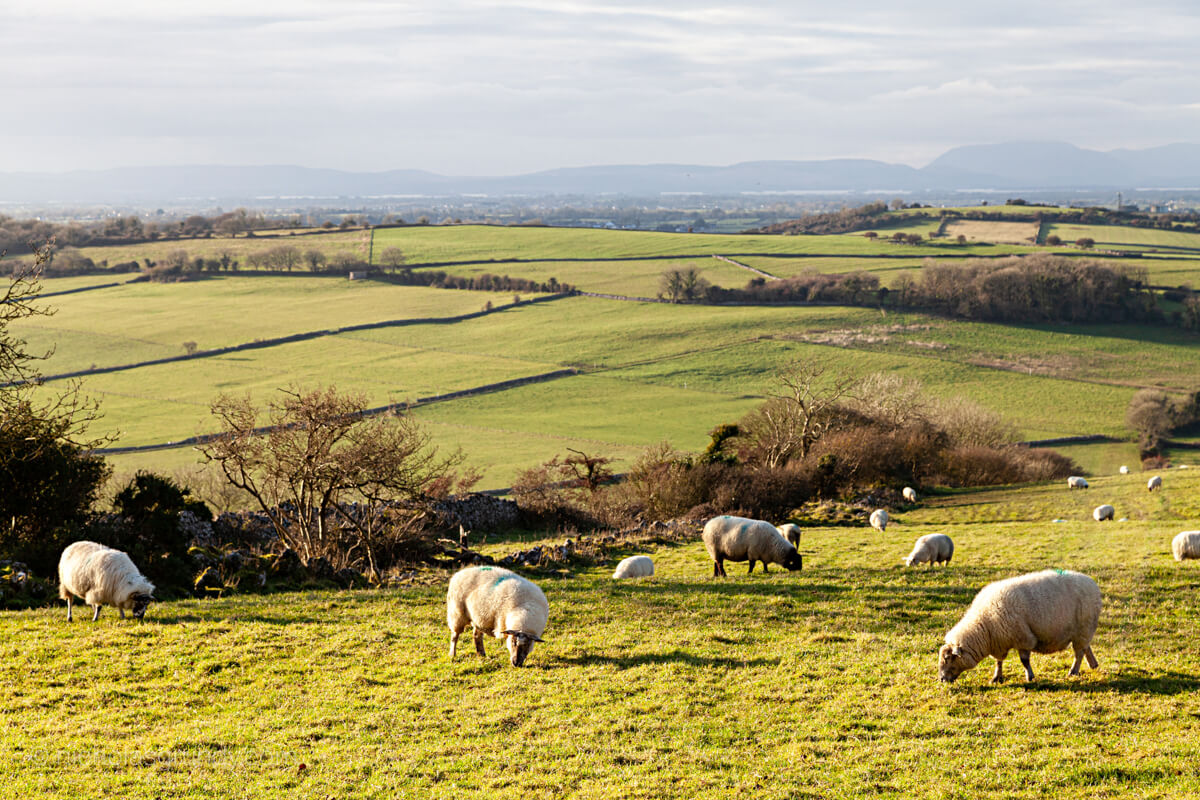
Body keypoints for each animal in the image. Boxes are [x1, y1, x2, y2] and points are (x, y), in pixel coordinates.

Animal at [936, 566, 1104, 686]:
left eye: (948, 658)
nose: (942, 680)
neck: (983, 625)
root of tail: (1091, 582)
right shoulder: (998, 642)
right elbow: (998, 661)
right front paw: (996, 677)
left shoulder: (1023, 638)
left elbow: (1024, 661)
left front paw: (1029, 676)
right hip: (1082, 631)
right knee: (1086, 648)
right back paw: (1093, 664)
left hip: (1083, 628)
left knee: (1079, 653)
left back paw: (1073, 671)